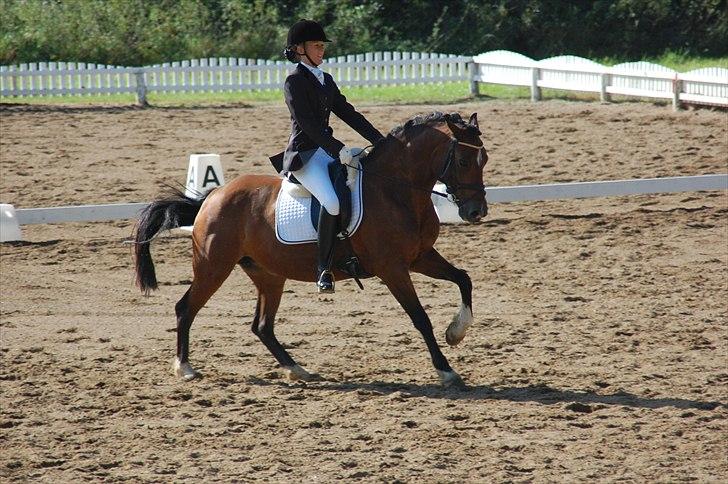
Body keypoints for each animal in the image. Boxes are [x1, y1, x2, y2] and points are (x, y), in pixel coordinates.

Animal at [133, 111, 488, 387]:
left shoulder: (419, 257)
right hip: (213, 267)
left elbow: (464, 278)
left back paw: (298, 370)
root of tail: (212, 196)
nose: (476, 212)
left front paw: (456, 332)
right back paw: (185, 368)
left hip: (268, 275)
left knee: (262, 326)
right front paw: (446, 371)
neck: (395, 190)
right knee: (186, 308)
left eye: (484, 159)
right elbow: (420, 317)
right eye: (462, 160)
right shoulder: (393, 269)